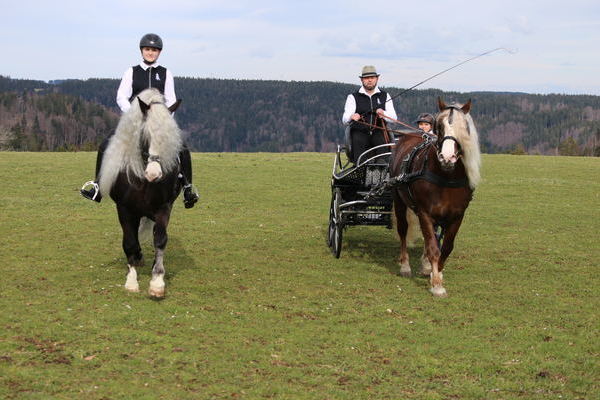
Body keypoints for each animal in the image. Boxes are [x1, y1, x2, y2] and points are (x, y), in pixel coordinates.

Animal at [97, 89, 183, 298]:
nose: (154, 174)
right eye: (144, 135)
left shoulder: (164, 207)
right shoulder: (124, 209)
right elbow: (129, 242)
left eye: (169, 139)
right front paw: (131, 281)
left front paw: (157, 282)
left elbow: (160, 240)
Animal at [390, 98, 482, 296]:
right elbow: (433, 247)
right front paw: (437, 285)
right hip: (399, 200)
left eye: (464, 127)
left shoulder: (457, 216)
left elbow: (445, 247)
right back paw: (405, 266)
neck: (446, 177)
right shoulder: (424, 212)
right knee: (403, 230)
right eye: (439, 127)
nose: (447, 157)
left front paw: (435, 272)